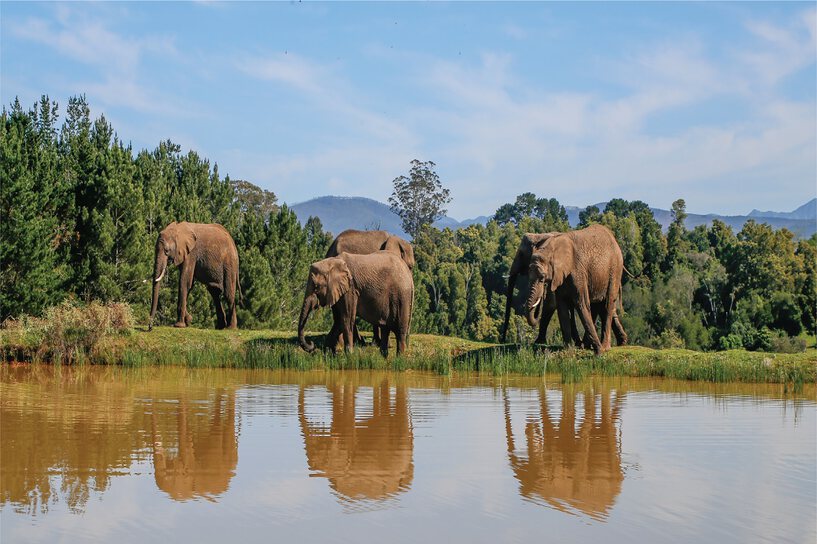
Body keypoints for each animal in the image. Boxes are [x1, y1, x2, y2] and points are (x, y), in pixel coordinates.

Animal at [524, 224, 626, 354]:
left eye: (542, 277)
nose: (542, 295)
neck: (552, 249)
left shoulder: (577, 271)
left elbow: (581, 304)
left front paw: (598, 351)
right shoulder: (560, 277)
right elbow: (562, 307)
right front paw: (568, 349)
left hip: (615, 270)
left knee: (607, 304)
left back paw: (604, 347)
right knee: (596, 305)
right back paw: (589, 345)